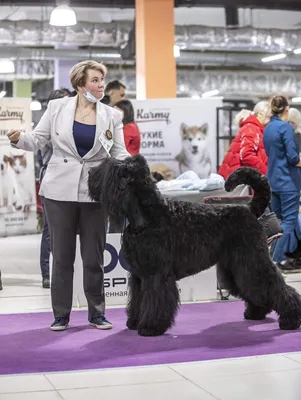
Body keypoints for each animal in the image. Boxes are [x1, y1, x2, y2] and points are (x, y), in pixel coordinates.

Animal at [88, 155, 300, 336]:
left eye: (109, 169)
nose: (90, 172)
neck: (147, 216)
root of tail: (249, 209)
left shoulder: (156, 274)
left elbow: (155, 300)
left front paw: (150, 327)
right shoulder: (139, 275)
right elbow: (138, 300)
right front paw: (134, 322)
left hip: (253, 261)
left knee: (276, 287)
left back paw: (290, 319)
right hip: (237, 268)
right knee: (254, 288)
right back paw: (256, 313)